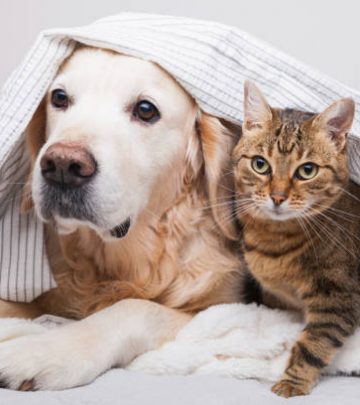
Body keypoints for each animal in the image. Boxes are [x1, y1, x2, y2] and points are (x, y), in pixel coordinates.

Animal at [0, 45, 245, 390]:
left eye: (145, 110)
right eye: (59, 97)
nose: (62, 166)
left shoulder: (222, 309)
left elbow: (134, 308)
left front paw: (45, 351)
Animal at [233, 80, 360, 396]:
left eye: (307, 170)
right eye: (260, 164)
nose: (278, 196)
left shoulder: (338, 298)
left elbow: (313, 344)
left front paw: (293, 381)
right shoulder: (277, 299)